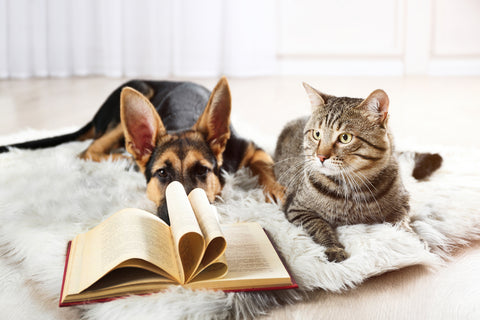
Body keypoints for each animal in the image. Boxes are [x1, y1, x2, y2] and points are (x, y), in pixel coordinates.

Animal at [0, 76, 284, 224]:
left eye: (202, 171)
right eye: (162, 173)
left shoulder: (251, 149)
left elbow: (265, 165)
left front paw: (275, 189)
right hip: (135, 97)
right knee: (89, 150)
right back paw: (124, 160)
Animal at [274, 83, 442, 262]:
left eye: (345, 138)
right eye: (316, 134)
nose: (320, 156)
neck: (352, 188)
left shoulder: (401, 205)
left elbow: (402, 223)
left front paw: (415, 241)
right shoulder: (298, 209)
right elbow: (320, 226)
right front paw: (334, 248)